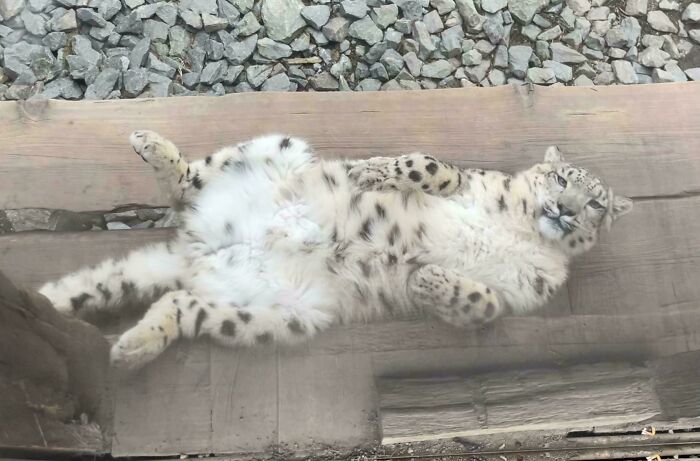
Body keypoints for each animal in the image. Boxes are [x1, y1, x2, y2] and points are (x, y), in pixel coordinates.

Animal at [38, 131, 633, 370]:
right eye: (561, 178)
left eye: (595, 204)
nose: (566, 209)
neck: (519, 229)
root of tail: (199, 249)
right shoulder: (469, 179)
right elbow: (434, 166)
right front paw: (371, 173)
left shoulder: (517, 298)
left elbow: (481, 303)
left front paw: (425, 279)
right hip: (275, 148)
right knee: (185, 183)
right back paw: (151, 145)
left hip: (281, 317)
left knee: (178, 304)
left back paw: (131, 348)